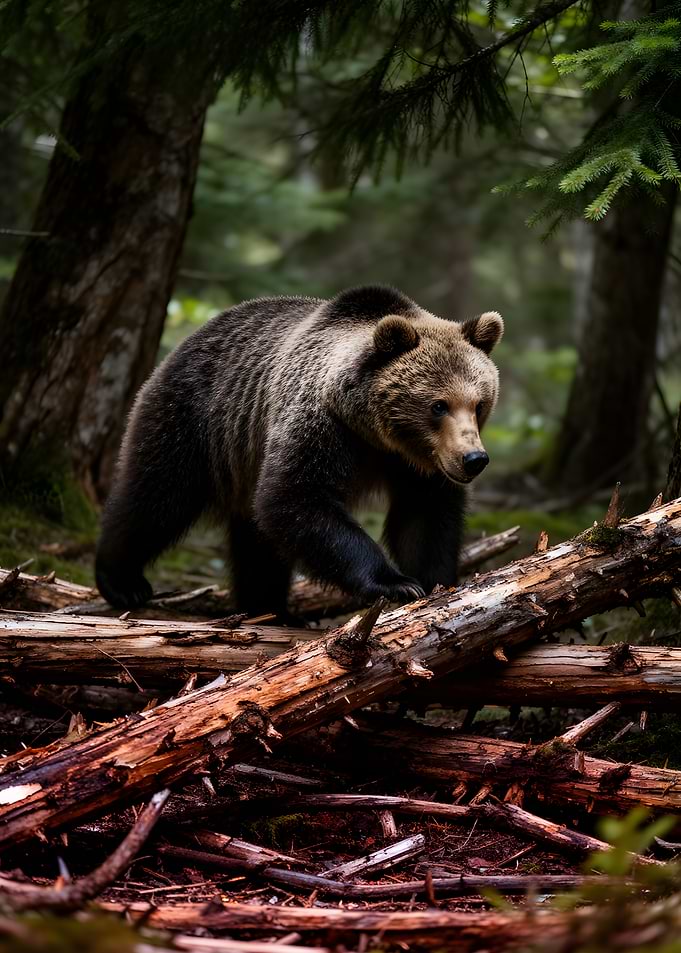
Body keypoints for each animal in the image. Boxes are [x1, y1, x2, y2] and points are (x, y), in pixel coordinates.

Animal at [96, 285, 503, 617]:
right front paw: (395, 583)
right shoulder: (319, 423)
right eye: (438, 406)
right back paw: (122, 581)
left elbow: (426, 516)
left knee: (255, 543)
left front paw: (435, 582)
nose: (473, 459)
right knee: (156, 495)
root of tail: (189, 339)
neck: (373, 433)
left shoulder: (416, 464)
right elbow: (294, 497)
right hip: (194, 419)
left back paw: (265, 606)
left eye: (479, 403)